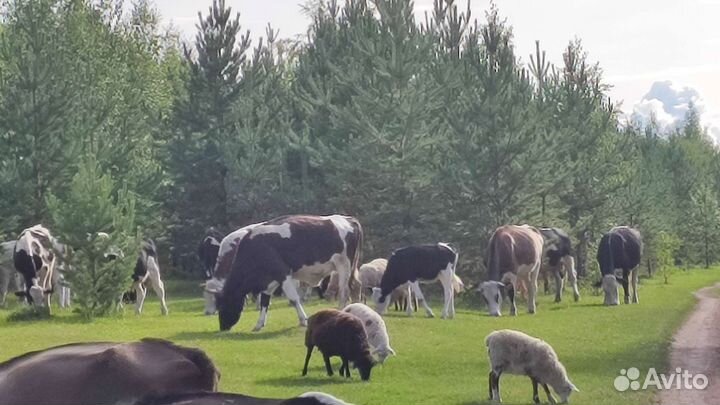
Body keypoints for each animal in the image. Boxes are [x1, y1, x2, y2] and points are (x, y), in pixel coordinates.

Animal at [216, 214, 363, 332]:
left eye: (222, 306)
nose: (223, 327)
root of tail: (348, 219)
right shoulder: (269, 281)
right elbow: (264, 302)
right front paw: (259, 324)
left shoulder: (283, 274)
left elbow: (293, 298)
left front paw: (303, 320)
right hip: (351, 268)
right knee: (356, 286)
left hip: (344, 265)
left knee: (344, 291)